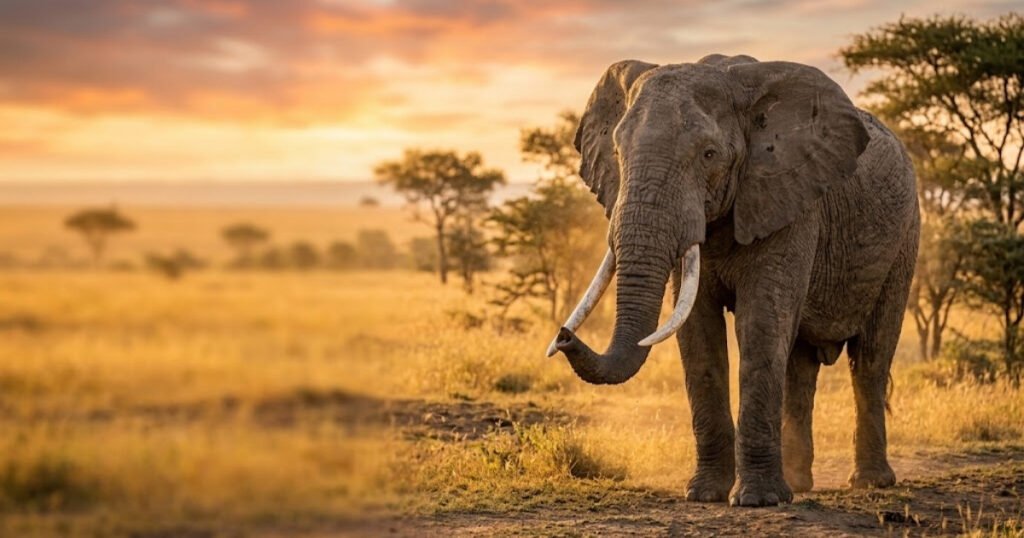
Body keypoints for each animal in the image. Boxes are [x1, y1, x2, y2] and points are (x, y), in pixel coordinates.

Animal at [546, 54, 919, 507]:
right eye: (617, 152)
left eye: (709, 154)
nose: (564, 336)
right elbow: (697, 332)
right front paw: (704, 494)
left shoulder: (788, 198)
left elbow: (760, 323)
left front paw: (758, 500)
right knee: (799, 365)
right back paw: (798, 483)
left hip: (904, 238)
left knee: (870, 357)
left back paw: (869, 483)